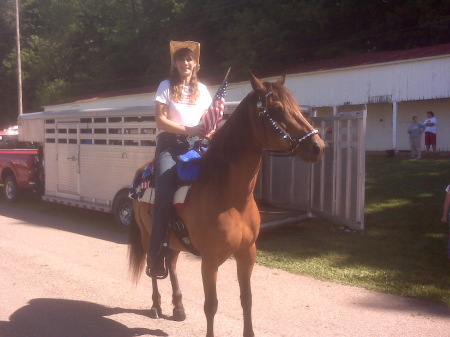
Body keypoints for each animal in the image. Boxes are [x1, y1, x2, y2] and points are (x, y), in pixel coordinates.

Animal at [129, 73, 324, 336]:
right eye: (276, 108)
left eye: (295, 106)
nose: (318, 146)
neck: (231, 198)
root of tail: (142, 171)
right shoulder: (210, 260)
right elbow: (211, 305)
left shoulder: (247, 253)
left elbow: (247, 298)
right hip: (149, 234)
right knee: (153, 262)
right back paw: (156, 306)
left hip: (174, 241)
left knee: (171, 263)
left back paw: (178, 308)